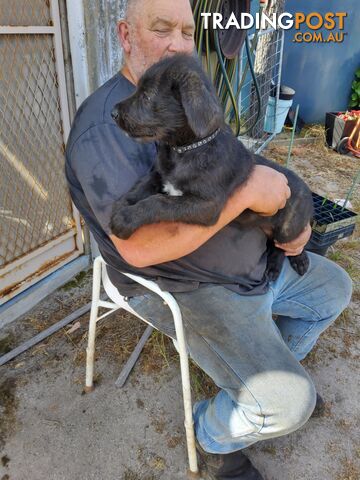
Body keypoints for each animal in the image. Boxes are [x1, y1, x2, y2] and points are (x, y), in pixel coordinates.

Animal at [111, 54, 314, 280]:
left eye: (146, 96)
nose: (113, 113)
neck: (185, 150)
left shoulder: (207, 205)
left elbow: (159, 202)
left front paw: (126, 219)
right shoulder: (158, 175)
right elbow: (142, 187)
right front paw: (122, 206)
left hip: (289, 226)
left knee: (289, 246)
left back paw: (292, 263)